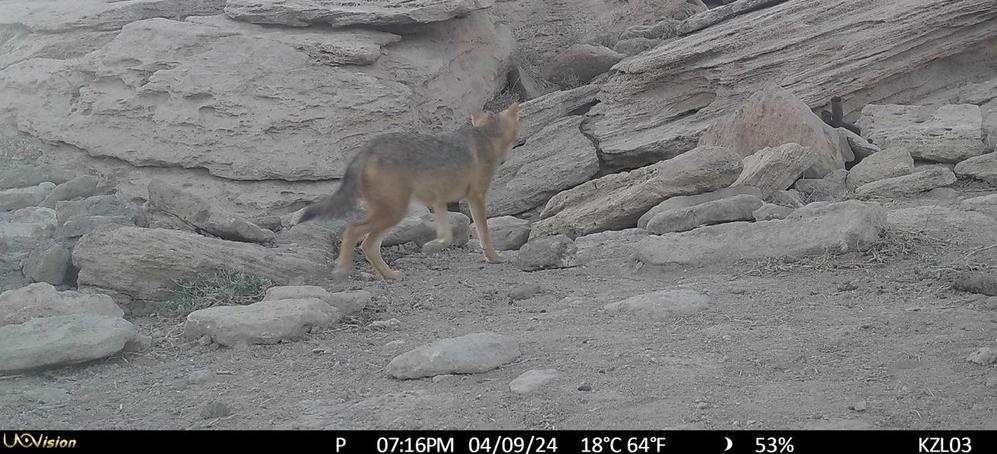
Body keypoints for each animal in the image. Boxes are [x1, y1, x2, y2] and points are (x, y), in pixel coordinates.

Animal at [292, 103, 520, 280]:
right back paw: (343, 269)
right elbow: (485, 234)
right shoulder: (476, 197)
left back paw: (388, 275)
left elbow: (446, 235)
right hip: (394, 213)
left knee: (367, 245)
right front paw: (494, 258)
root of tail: (370, 146)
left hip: (393, 214)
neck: (485, 135)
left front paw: (433, 246)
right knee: (353, 229)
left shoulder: (438, 201)